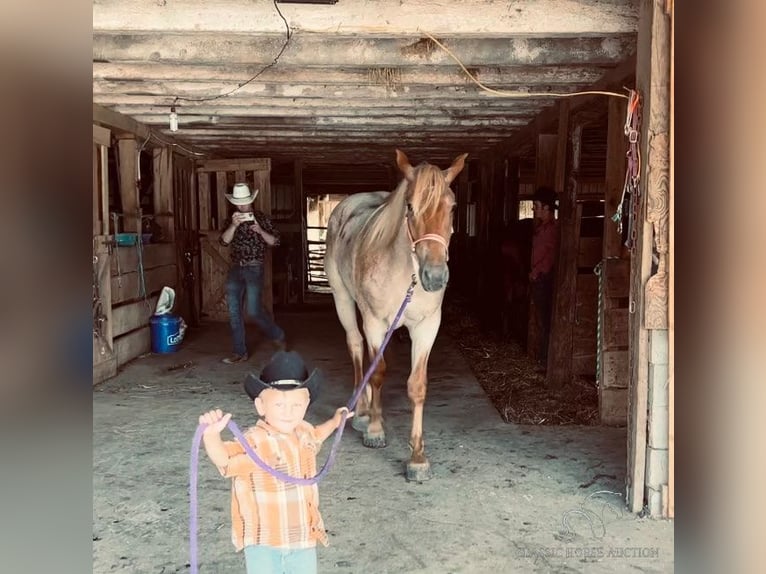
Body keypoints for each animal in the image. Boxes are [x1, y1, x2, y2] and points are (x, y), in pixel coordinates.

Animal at [324, 151, 468, 484]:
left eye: (452, 207)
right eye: (411, 206)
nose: (435, 277)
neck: (406, 273)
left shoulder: (427, 327)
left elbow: (417, 386)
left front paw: (417, 458)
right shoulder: (375, 323)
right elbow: (377, 373)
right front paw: (375, 430)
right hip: (344, 300)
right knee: (356, 346)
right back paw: (362, 412)